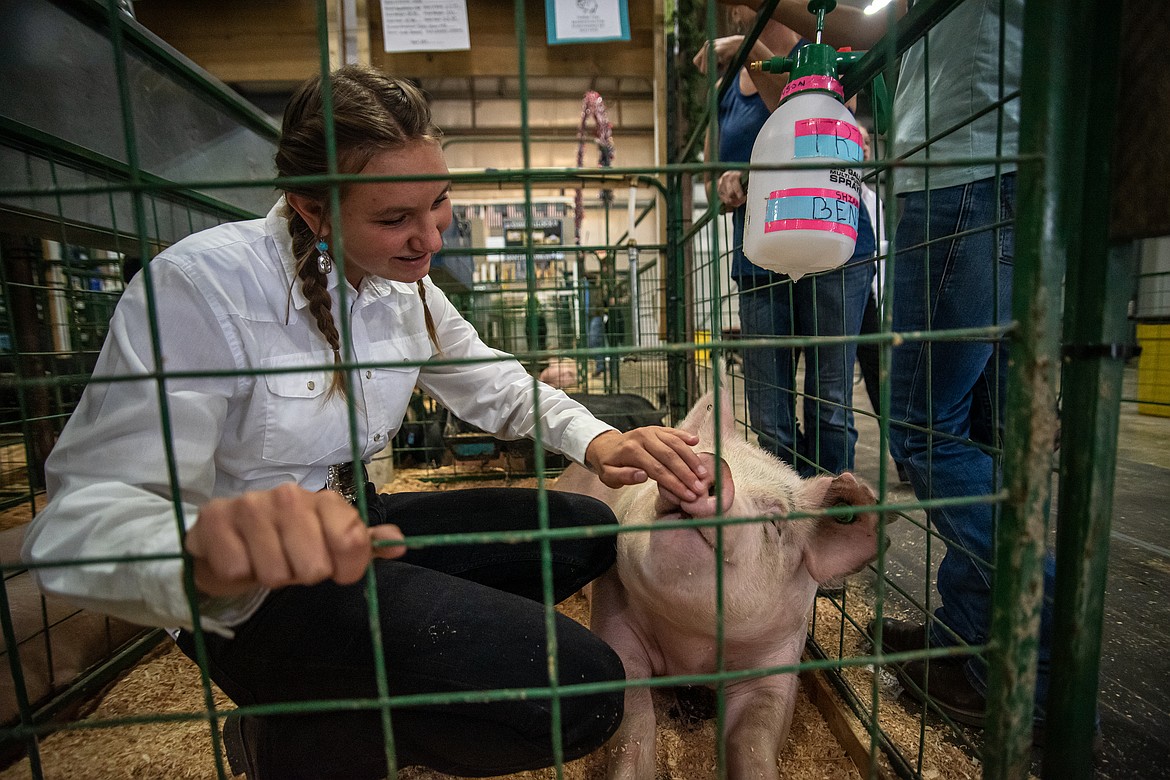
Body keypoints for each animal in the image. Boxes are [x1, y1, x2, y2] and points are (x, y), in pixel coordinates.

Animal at [552, 388, 879, 776]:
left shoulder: (779, 659)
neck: (690, 647)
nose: (712, 466)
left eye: (775, 521)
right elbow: (634, 726)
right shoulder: (615, 620)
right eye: (687, 458)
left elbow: (754, 736)